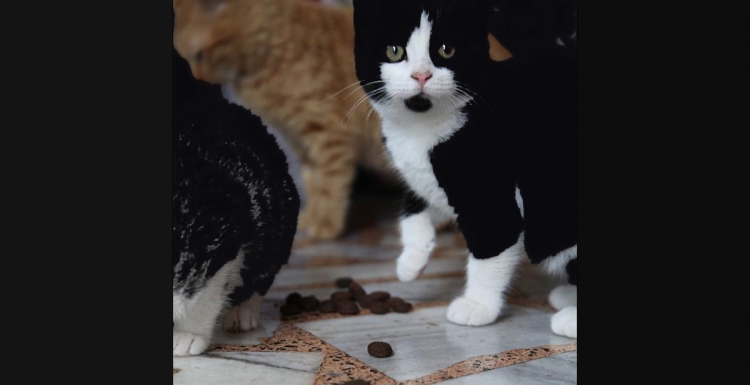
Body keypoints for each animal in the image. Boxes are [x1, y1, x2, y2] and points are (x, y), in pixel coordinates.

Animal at [356, 0, 580, 336]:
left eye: (446, 50)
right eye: (394, 51)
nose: (421, 75)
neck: (421, 129)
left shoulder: (490, 192)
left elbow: (492, 246)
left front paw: (478, 305)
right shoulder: (430, 180)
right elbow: (416, 204)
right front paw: (412, 258)